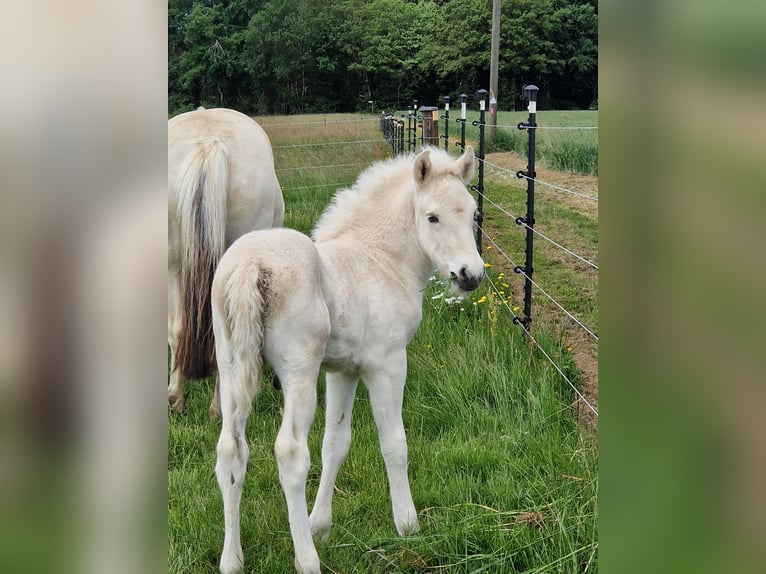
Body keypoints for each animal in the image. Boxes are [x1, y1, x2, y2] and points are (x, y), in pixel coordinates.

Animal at [213, 146, 484, 572]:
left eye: (472, 213)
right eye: (432, 217)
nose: (470, 275)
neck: (381, 261)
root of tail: (249, 267)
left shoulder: (342, 372)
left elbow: (335, 443)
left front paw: (320, 524)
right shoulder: (386, 365)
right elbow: (394, 443)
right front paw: (408, 524)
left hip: (230, 367)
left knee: (230, 451)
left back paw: (232, 560)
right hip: (298, 372)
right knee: (290, 452)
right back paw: (307, 560)